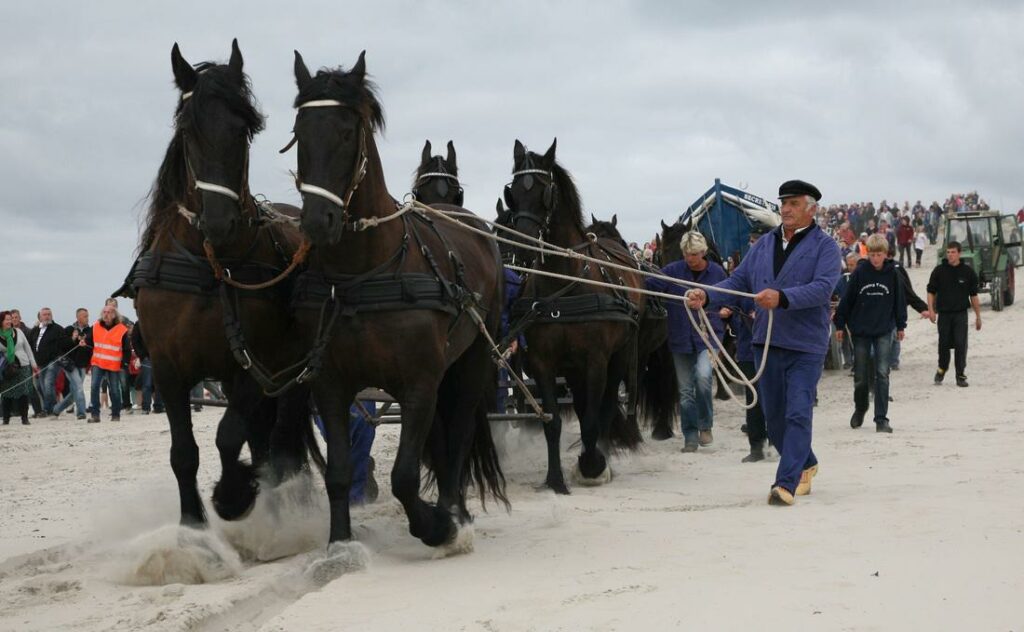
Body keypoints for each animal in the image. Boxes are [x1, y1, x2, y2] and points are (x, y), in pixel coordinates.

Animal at [127, 40, 321, 529]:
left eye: (243, 130)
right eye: (187, 130)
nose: (218, 223)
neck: (208, 265)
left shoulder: (256, 364)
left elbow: (229, 436)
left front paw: (234, 495)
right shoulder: (168, 370)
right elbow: (184, 453)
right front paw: (193, 528)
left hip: (293, 373)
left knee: (280, 439)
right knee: (265, 437)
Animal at [286, 50, 507, 552]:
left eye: (348, 131)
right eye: (299, 132)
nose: (318, 222)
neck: (361, 274)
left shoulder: (418, 383)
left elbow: (404, 476)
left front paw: (437, 527)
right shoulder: (330, 385)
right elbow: (338, 472)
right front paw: (339, 545)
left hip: (472, 361)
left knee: (459, 433)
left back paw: (454, 511)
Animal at [503, 139, 645, 493]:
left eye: (544, 190)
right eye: (513, 190)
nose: (523, 245)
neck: (564, 281)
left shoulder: (595, 360)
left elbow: (595, 417)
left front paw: (592, 465)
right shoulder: (543, 364)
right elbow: (554, 422)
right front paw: (555, 479)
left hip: (619, 356)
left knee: (604, 408)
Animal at [586, 214, 679, 441]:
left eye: (617, 242)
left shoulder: (638, 350)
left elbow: (631, 381)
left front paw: (628, 426)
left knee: (666, 377)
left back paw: (662, 426)